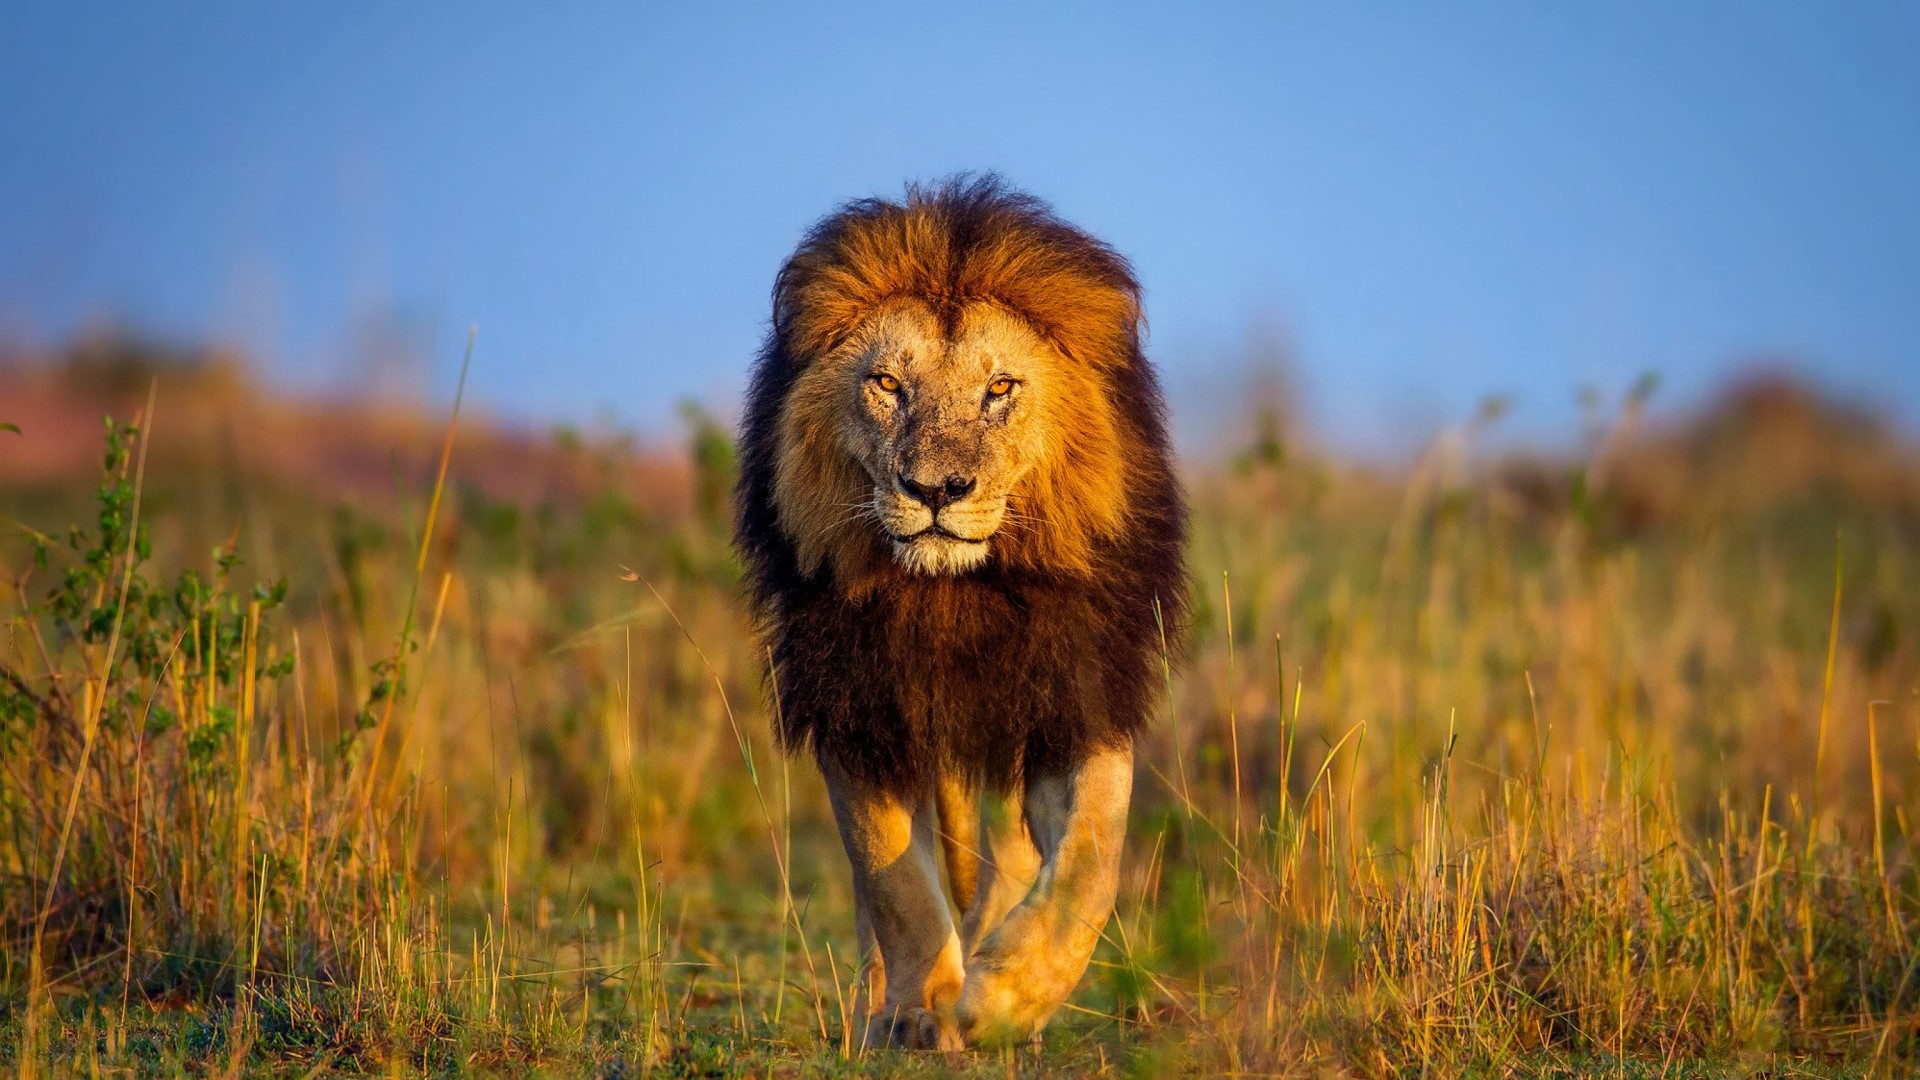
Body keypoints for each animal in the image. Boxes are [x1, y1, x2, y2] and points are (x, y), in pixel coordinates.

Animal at [734, 176, 1188, 1050]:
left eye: (999, 388)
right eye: (887, 384)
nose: (936, 490)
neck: (953, 596)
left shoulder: (1073, 696)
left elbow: (1090, 863)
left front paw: (1004, 999)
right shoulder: (859, 702)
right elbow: (894, 882)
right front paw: (922, 1009)